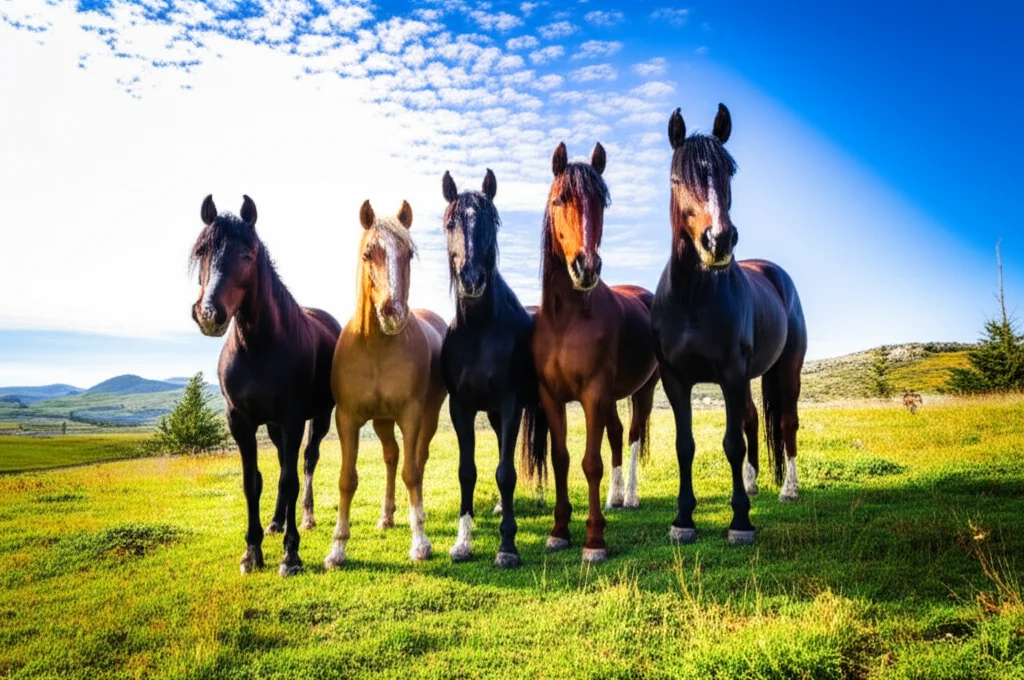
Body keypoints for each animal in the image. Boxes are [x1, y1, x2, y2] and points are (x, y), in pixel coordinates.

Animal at [190, 195, 341, 576]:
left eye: (247, 255)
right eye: (201, 251)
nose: (209, 314)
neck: (258, 349)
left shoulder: (293, 418)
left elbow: (291, 478)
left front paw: (291, 555)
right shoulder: (240, 421)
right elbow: (252, 481)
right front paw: (252, 550)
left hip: (319, 418)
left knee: (306, 462)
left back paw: (306, 517)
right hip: (272, 426)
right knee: (283, 462)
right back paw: (276, 521)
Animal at [324, 200, 447, 567]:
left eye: (408, 253)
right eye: (368, 253)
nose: (392, 313)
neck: (375, 348)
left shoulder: (411, 414)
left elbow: (412, 472)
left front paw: (420, 542)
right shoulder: (347, 418)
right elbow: (347, 479)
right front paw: (337, 549)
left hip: (428, 416)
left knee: (416, 459)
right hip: (381, 421)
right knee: (391, 457)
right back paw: (387, 515)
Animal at [439, 169, 547, 568]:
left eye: (492, 222)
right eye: (450, 222)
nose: (471, 279)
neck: (479, 330)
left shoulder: (510, 402)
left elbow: (506, 472)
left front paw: (507, 547)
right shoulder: (461, 407)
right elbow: (466, 472)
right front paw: (463, 543)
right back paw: (502, 508)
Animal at [531, 142, 660, 563]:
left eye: (601, 202)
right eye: (560, 199)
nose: (586, 267)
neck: (566, 321)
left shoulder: (592, 394)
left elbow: (591, 462)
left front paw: (594, 540)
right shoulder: (551, 397)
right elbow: (561, 459)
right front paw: (558, 531)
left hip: (644, 390)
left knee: (633, 435)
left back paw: (630, 496)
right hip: (612, 397)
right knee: (618, 434)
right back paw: (614, 498)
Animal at [651, 104, 808, 547]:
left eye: (728, 173)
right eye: (676, 178)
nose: (718, 240)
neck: (692, 297)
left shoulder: (731, 372)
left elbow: (733, 443)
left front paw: (740, 522)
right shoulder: (675, 378)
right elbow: (685, 445)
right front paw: (683, 520)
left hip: (786, 369)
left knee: (787, 423)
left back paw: (788, 490)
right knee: (754, 418)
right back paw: (753, 485)